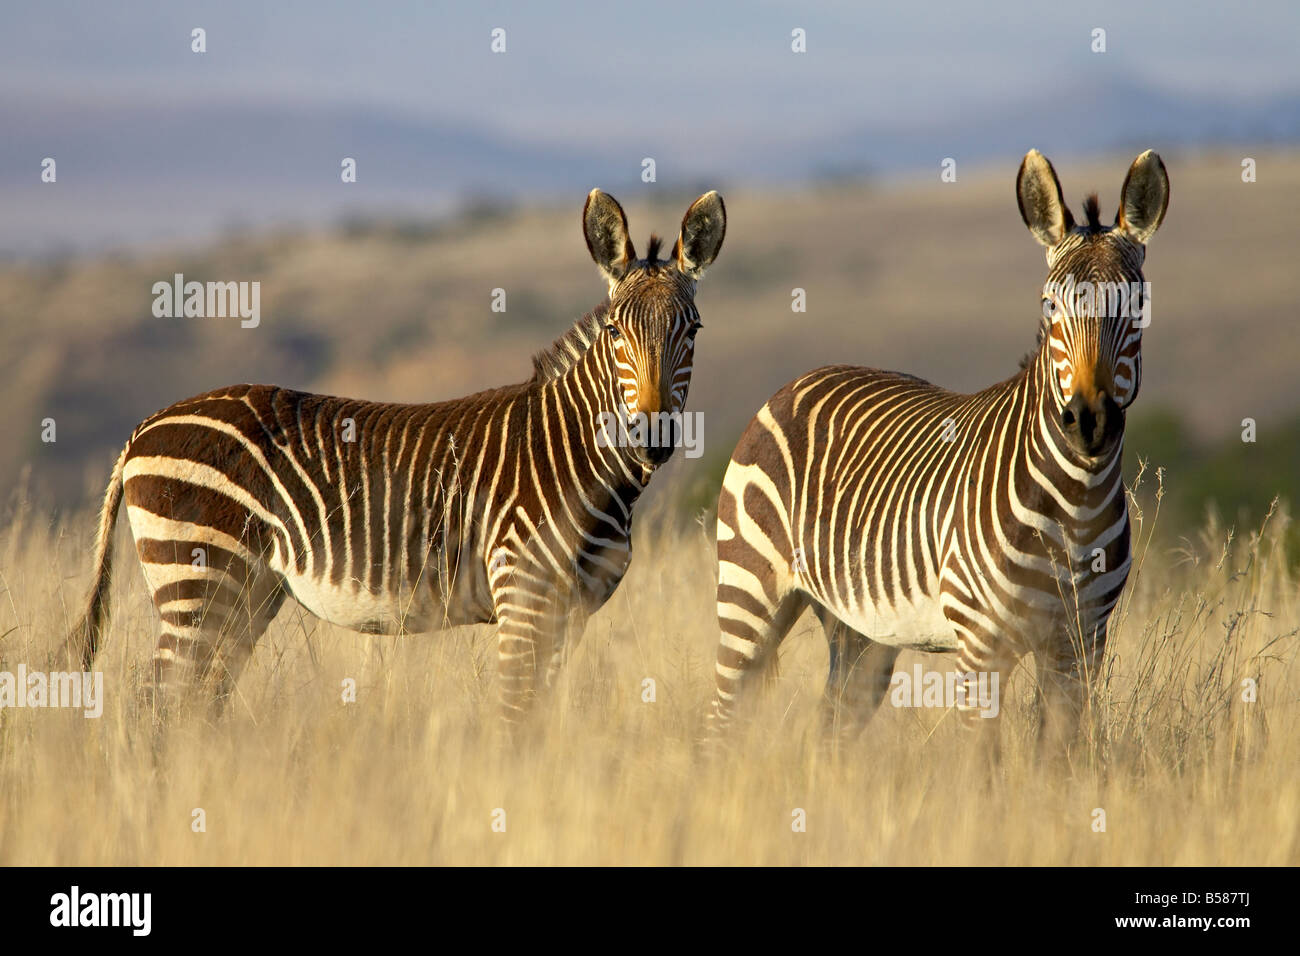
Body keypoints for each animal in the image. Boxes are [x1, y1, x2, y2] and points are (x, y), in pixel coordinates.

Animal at [61, 187, 728, 723]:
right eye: (616, 332)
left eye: (693, 330)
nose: (652, 437)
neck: (577, 458)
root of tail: (143, 428)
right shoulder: (523, 596)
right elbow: (515, 717)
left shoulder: (571, 612)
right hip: (197, 579)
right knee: (156, 706)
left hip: (244, 595)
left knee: (196, 705)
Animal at [707, 151, 1175, 764]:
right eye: (1048, 305)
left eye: (1138, 304)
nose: (1087, 420)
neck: (1076, 501)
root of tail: (794, 382)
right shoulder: (982, 645)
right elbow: (983, 764)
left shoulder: (1080, 645)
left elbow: (1058, 761)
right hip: (749, 591)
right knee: (720, 718)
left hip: (859, 631)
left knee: (830, 729)